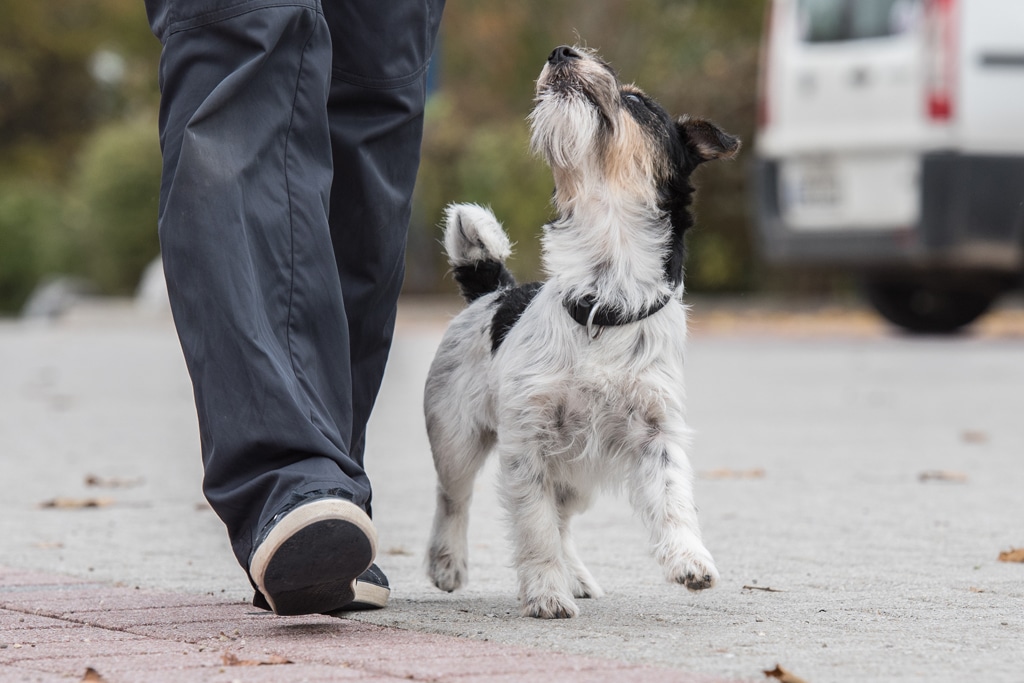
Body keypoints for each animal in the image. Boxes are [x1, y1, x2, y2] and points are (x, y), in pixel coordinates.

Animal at [421, 44, 737, 618]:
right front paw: (546, 591)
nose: (561, 51)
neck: (603, 302)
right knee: (454, 499)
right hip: (457, 440)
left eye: (637, 101)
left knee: (564, 520)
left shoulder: (657, 432)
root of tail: (493, 288)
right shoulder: (527, 445)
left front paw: (689, 557)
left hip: (578, 475)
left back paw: (579, 576)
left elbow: (673, 497)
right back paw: (448, 562)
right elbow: (535, 528)